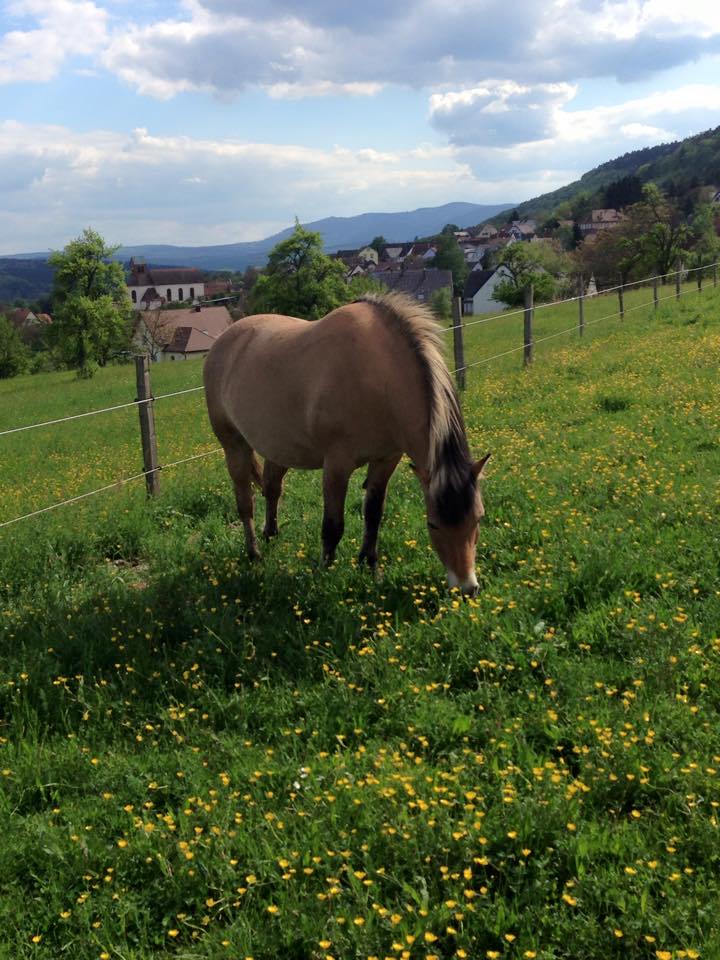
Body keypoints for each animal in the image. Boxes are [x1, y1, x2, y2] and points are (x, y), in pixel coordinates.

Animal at [205, 290, 492, 592]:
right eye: (433, 524)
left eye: (479, 517)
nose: (467, 588)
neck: (376, 377)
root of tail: (222, 342)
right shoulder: (336, 465)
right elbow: (333, 525)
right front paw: (325, 573)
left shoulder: (386, 459)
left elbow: (373, 514)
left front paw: (370, 565)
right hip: (233, 445)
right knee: (244, 501)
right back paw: (254, 553)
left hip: (279, 447)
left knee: (272, 487)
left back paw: (271, 535)